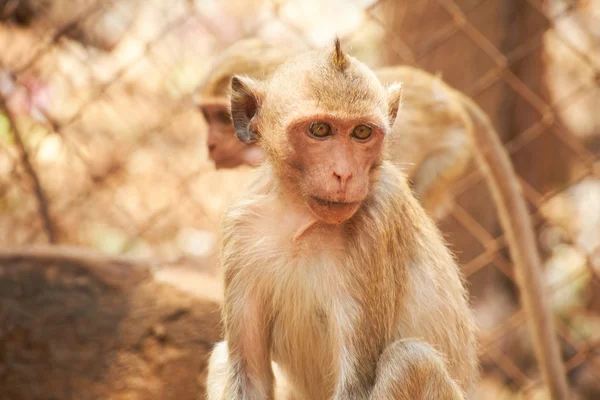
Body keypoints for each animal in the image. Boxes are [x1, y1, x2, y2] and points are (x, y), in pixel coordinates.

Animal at [206, 38, 478, 400]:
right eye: (320, 129)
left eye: (362, 132)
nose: (344, 174)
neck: (299, 220)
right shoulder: (239, 226)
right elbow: (247, 376)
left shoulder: (378, 221)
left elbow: (355, 385)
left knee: (410, 361)